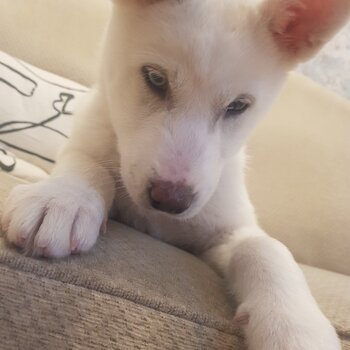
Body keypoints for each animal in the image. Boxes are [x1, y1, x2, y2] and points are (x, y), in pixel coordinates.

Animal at [1, 0, 348, 348]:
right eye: (155, 78)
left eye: (238, 106)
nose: (170, 200)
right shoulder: (92, 135)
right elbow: (89, 164)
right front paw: (63, 198)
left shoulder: (228, 229)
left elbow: (265, 248)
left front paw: (295, 326)